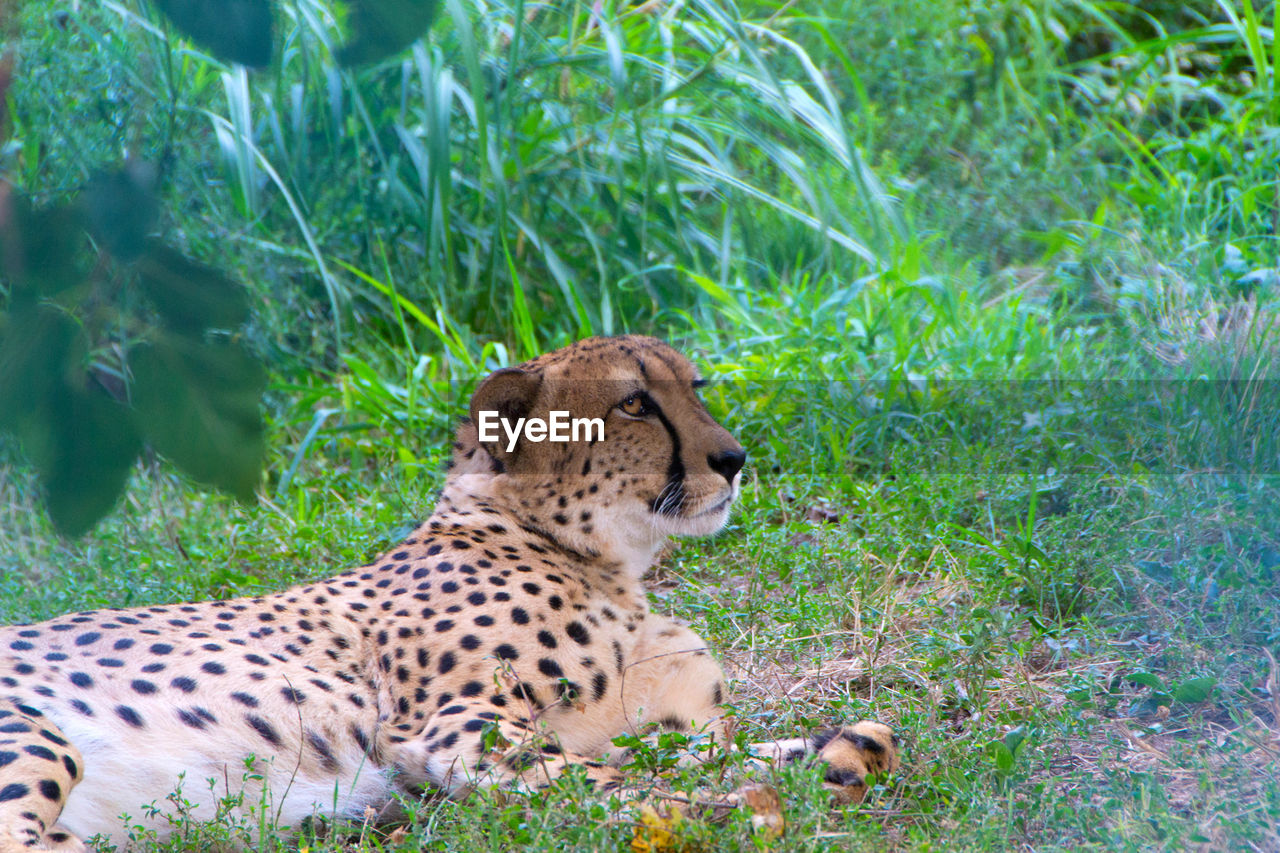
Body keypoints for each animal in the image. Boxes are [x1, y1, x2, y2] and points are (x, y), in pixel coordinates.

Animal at [0, 335, 901, 845]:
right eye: (635, 404)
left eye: (696, 388)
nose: (733, 459)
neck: (605, 560)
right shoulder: (460, 723)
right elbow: (615, 780)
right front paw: (728, 807)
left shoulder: (661, 726)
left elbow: (813, 742)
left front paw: (836, 753)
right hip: (36, 736)